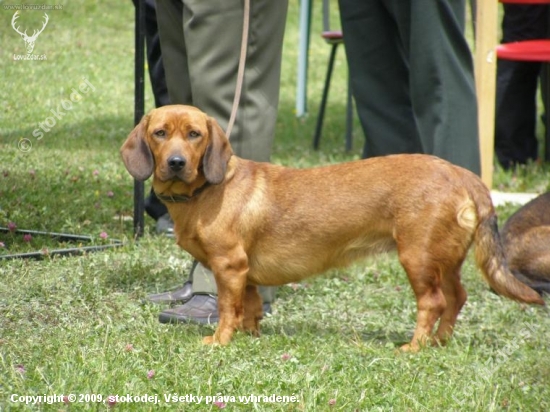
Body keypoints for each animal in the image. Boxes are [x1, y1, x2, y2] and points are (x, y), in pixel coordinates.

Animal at [121, 104, 548, 350]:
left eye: (194, 134)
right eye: (160, 133)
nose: (176, 163)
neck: (206, 191)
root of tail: (462, 174)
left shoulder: (229, 267)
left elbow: (228, 308)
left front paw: (220, 342)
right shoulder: (247, 274)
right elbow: (252, 308)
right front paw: (251, 338)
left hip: (418, 258)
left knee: (434, 303)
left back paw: (413, 347)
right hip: (445, 261)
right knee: (458, 298)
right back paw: (440, 343)